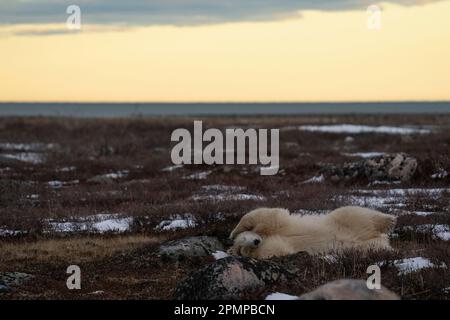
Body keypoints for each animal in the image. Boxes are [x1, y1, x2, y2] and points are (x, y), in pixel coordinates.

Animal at [230, 206, 396, 258]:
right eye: (244, 243)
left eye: (244, 239)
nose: (256, 241)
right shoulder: (272, 246)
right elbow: (277, 249)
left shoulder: (279, 225)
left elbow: (264, 216)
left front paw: (233, 232)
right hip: (364, 247)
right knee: (373, 245)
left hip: (340, 221)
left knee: (356, 213)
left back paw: (390, 220)